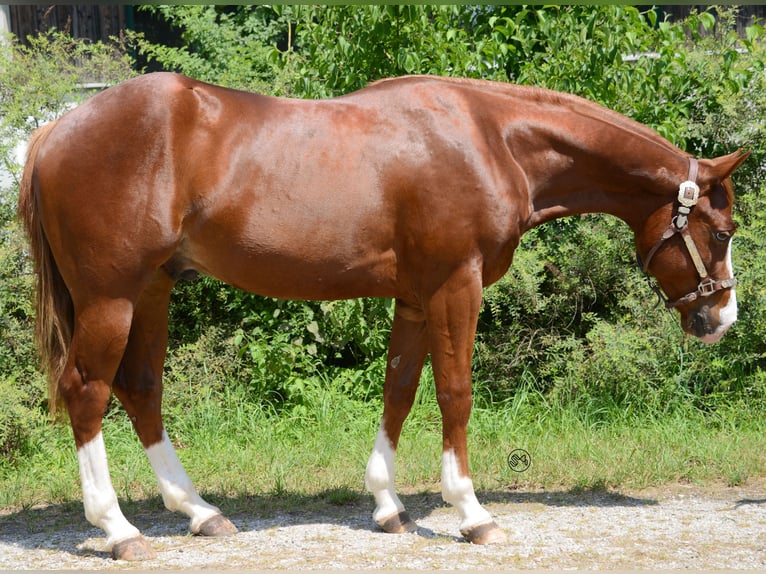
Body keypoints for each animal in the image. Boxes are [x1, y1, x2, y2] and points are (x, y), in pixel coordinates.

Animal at [18, 73, 748, 560]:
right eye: (722, 229)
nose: (722, 318)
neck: (491, 138)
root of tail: (54, 131)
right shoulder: (457, 287)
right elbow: (454, 392)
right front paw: (471, 512)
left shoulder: (417, 297)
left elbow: (399, 388)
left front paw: (388, 506)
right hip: (112, 296)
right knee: (87, 391)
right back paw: (117, 529)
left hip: (152, 291)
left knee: (141, 389)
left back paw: (199, 512)